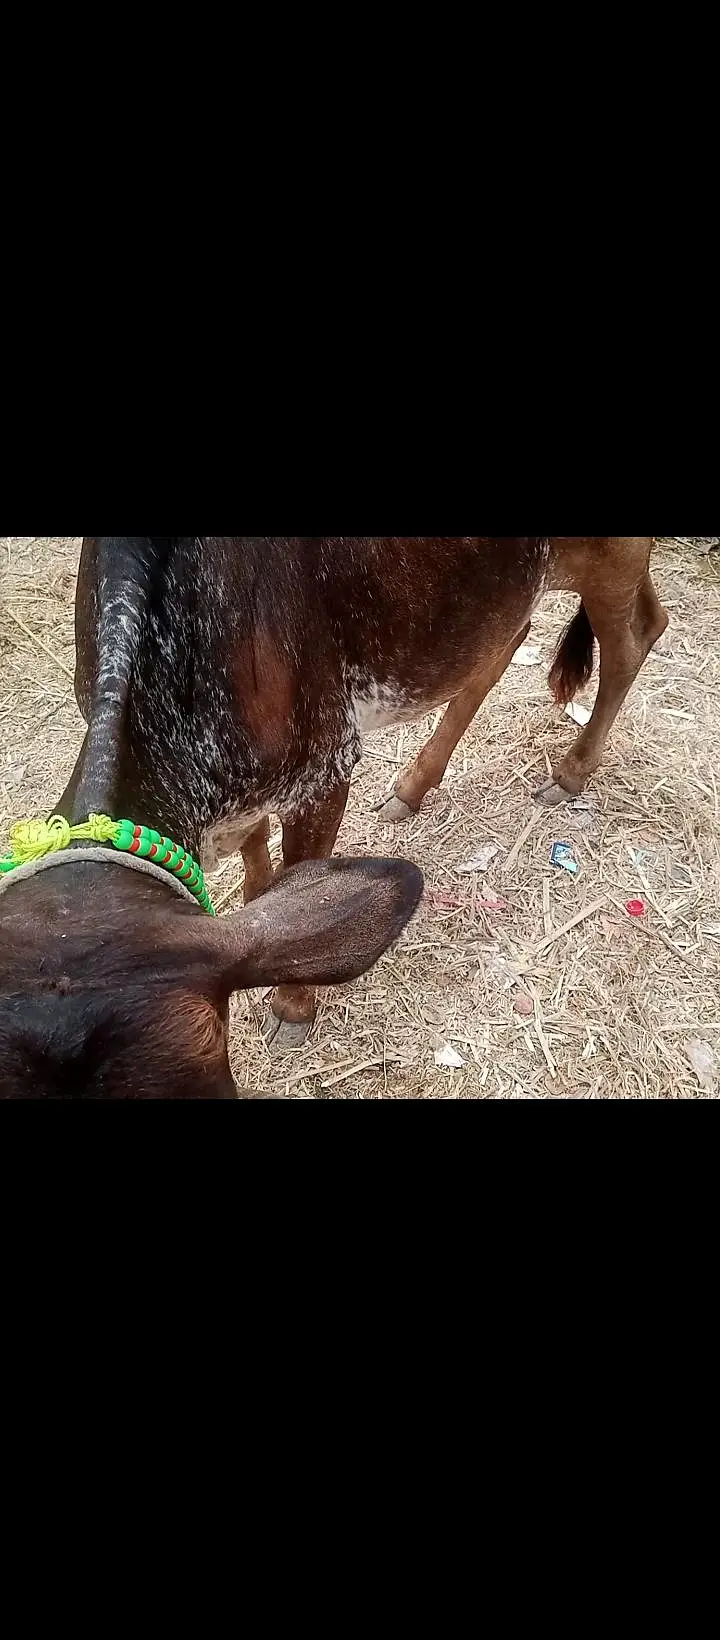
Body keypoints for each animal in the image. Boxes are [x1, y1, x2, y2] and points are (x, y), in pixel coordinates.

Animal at [0, 536, 667, 1098]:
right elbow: (260, 854)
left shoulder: (324, 765)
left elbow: (306, 863)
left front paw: (292, 1006)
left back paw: (571, 771)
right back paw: (412, 786)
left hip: (613, 557)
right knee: (510, 637)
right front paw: (265, 900)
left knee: (637, 635)